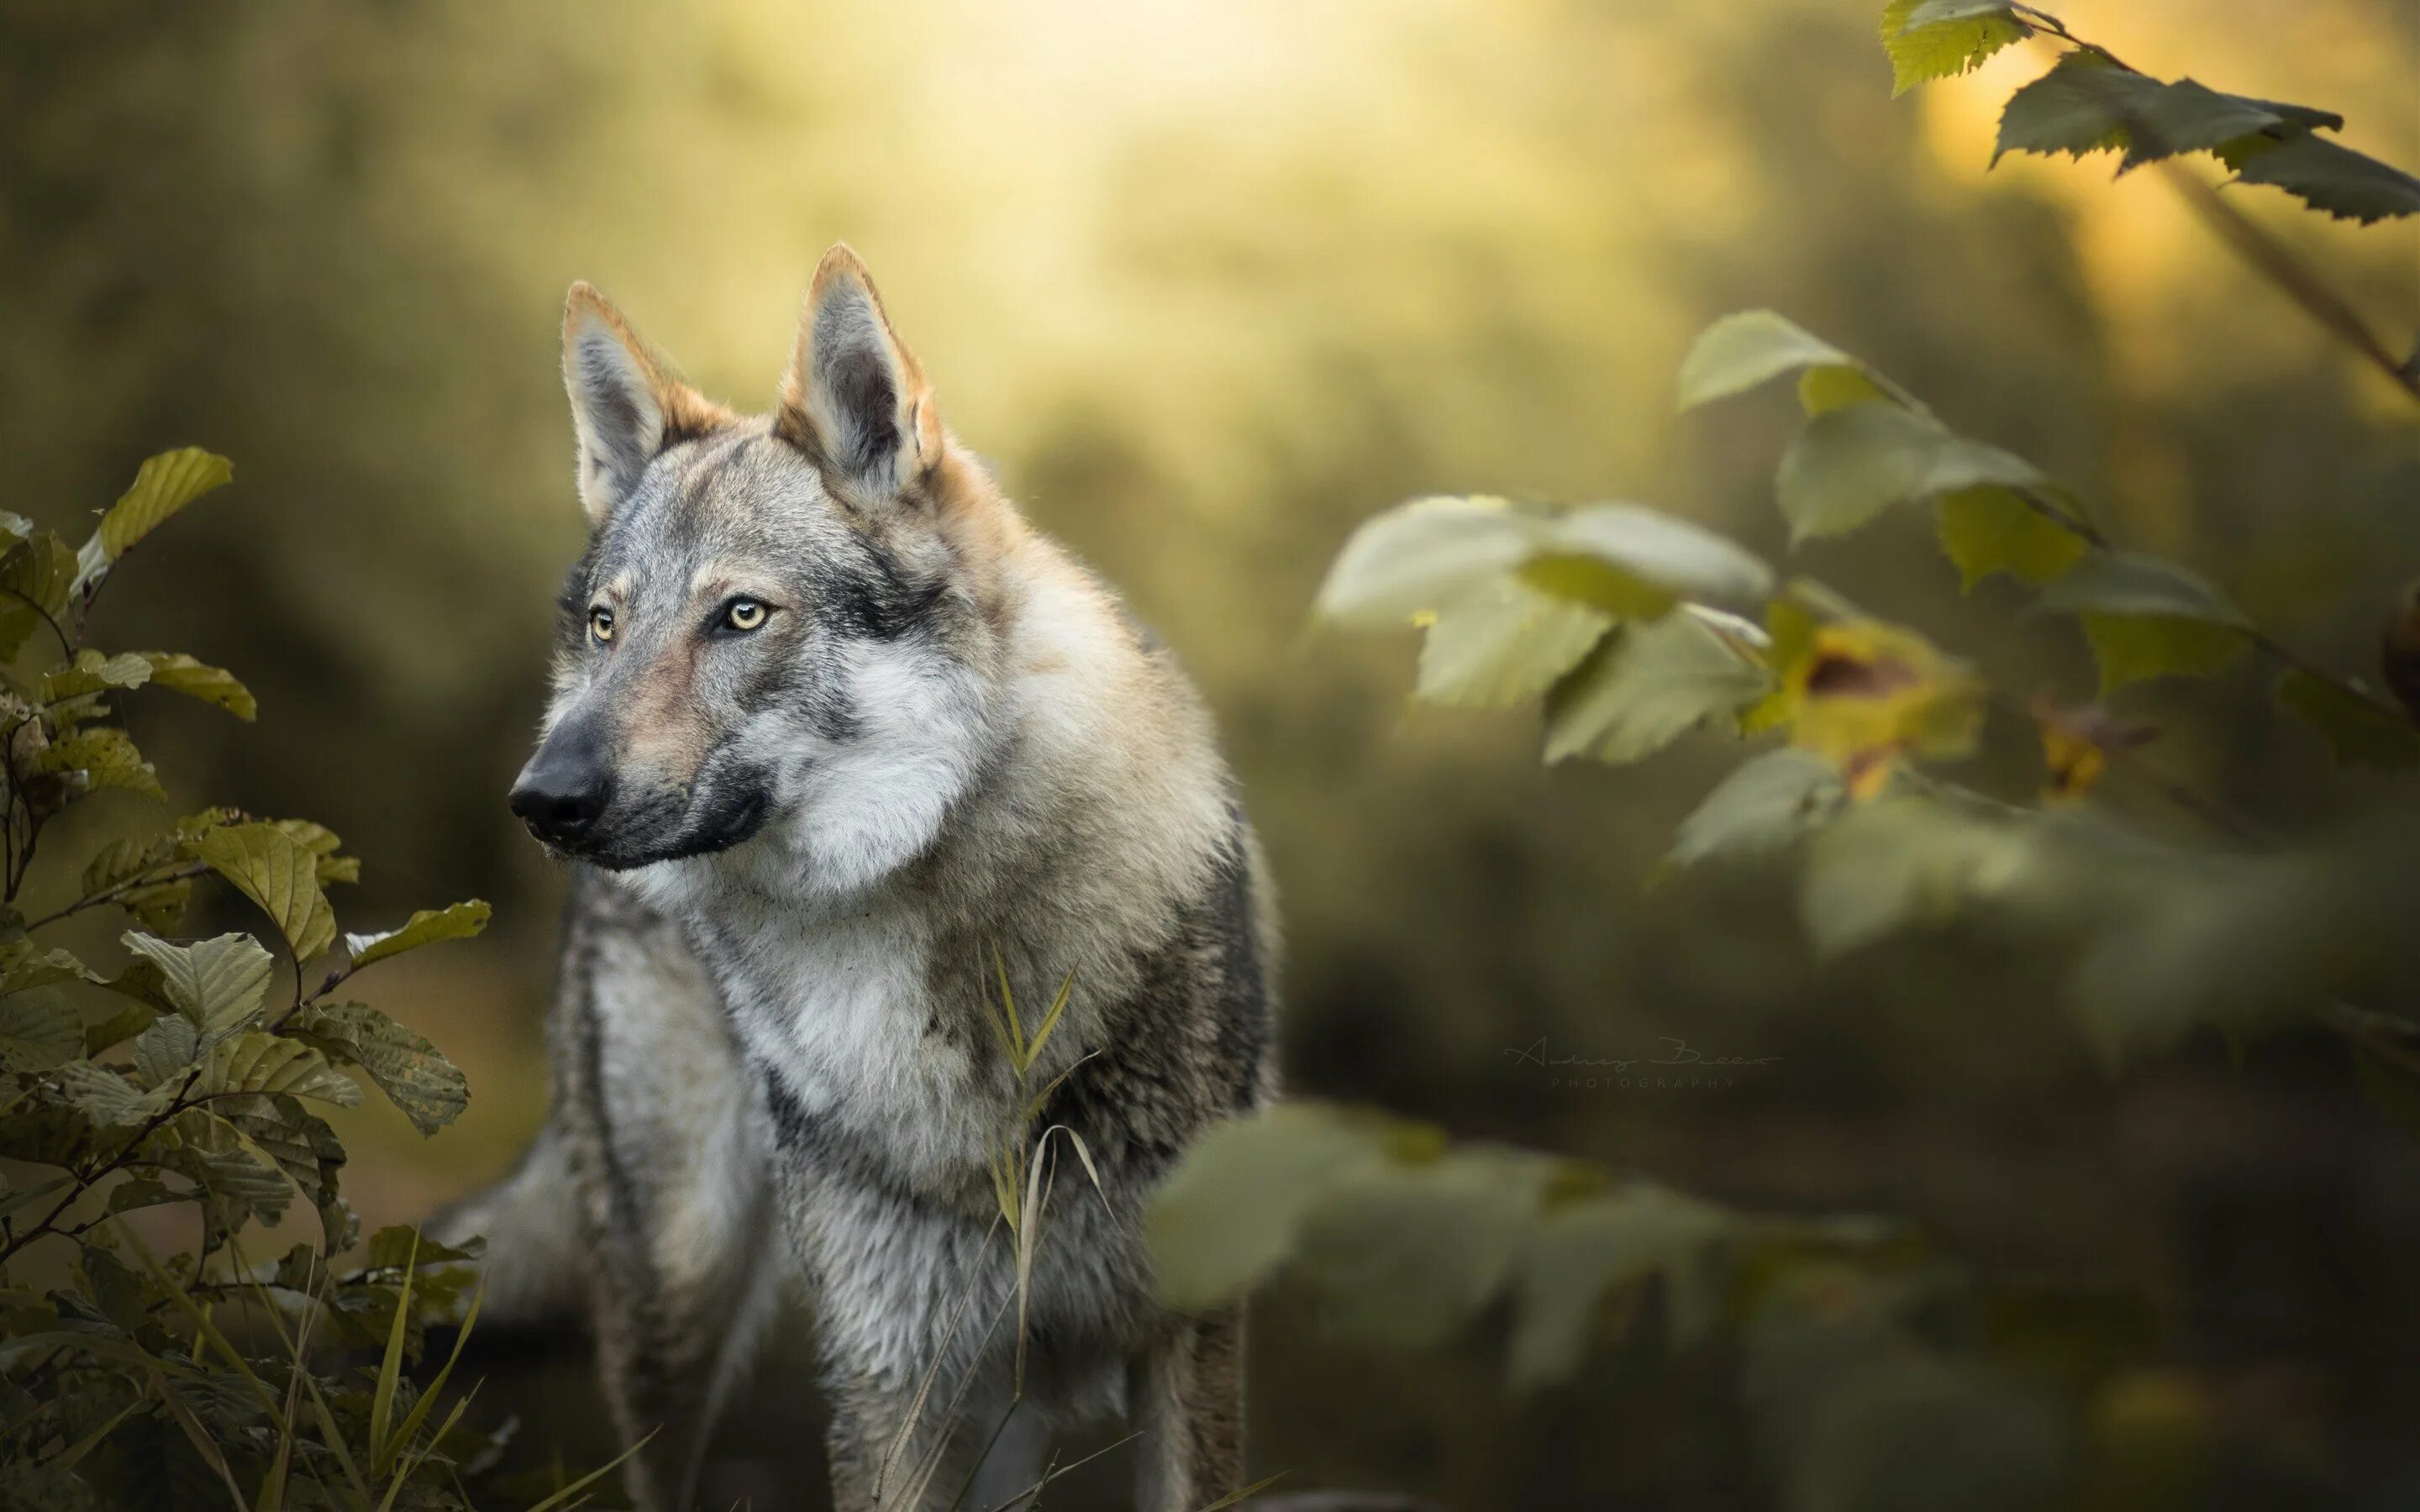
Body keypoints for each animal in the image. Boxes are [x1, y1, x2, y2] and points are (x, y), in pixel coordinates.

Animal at [455, 248, 1287, 1509]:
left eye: (742, 615)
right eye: (606, 625)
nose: (543, 798)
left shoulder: (1189, 1339)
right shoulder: (886, 1378)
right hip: (677, 1297)